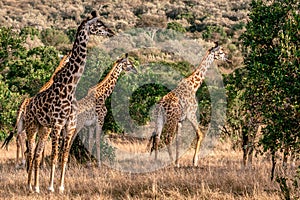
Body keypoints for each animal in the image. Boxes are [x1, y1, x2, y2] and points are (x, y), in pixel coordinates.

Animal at [23, 11, 114, 194]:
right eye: (99, 24)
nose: (111, 32)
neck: (70, 87)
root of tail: (28, 105)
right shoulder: (58, 125)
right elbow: (54, 157)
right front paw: (51, 187)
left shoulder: (69, 126)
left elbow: (64, 157)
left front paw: (61, 186)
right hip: (32, 126)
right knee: (30, 152)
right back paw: (29, 186)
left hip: (43, 128)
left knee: (37, 154)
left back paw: (36, 187)